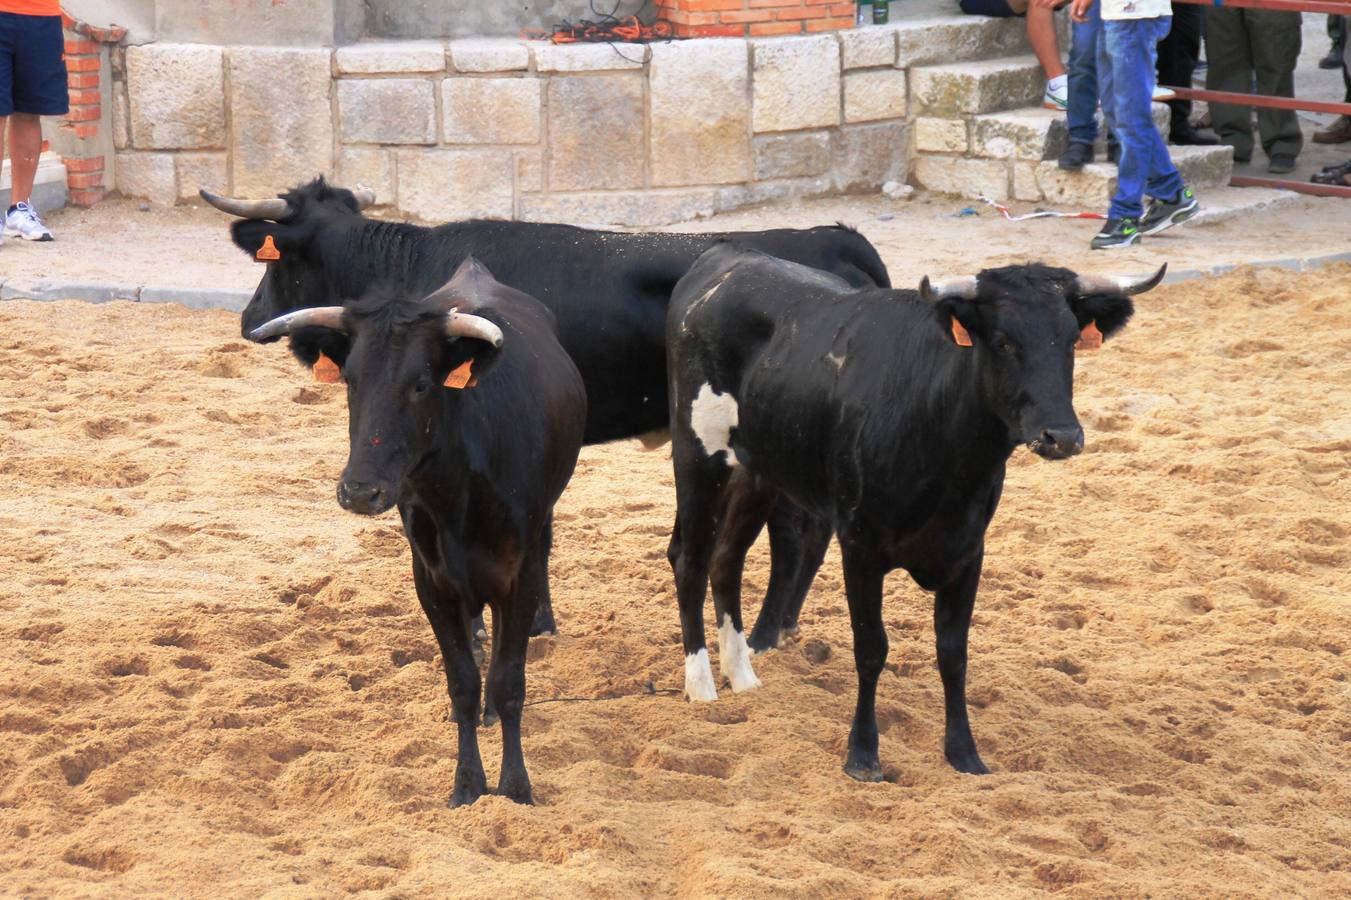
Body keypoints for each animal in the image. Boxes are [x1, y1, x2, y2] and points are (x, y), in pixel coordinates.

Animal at [252, 255, 586, 800]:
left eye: (422, 384)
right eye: (350, 381)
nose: (359, 491)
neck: (459, 494)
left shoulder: (518, 579)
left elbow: (509, 682)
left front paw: (515, 786)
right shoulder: (431, 581)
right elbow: (463, 680)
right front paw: (467, 783)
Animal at [664, 245, 1161, 778]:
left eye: (1070, 341)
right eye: (1003, 342)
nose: (1062, 436)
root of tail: (726, 256)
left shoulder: (968, 552)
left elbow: (953, 652)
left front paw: (964, 752)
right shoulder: (859, 546)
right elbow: (871, 648)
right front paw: (863, 753)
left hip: (755, 472)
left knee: (726, 561)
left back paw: (742, 676)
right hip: (697, 455)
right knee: (690, 560)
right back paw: (701, 685)